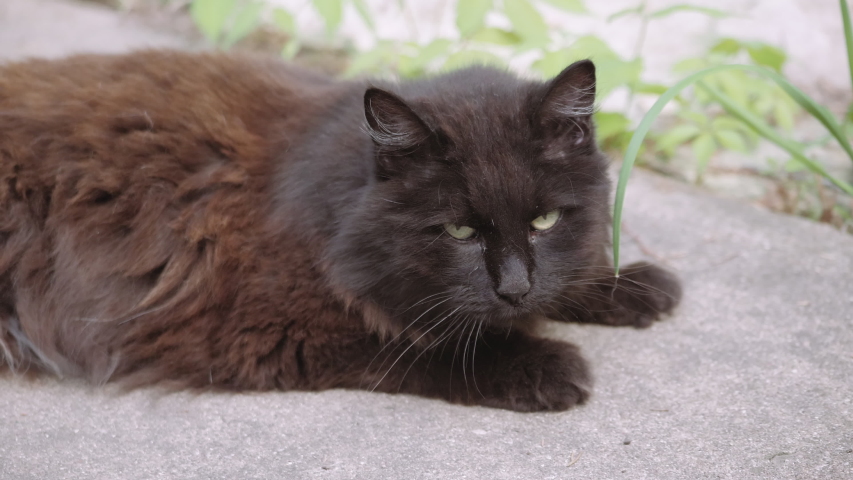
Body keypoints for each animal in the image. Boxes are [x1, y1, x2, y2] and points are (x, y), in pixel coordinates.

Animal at [0, 51, 680, 412]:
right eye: (459, 231)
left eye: (544, 221)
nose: (514, 289)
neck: (337, 204)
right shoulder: (276, 330)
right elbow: (429, 345)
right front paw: (539, 364)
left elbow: (566, 281)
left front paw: (631, 285)